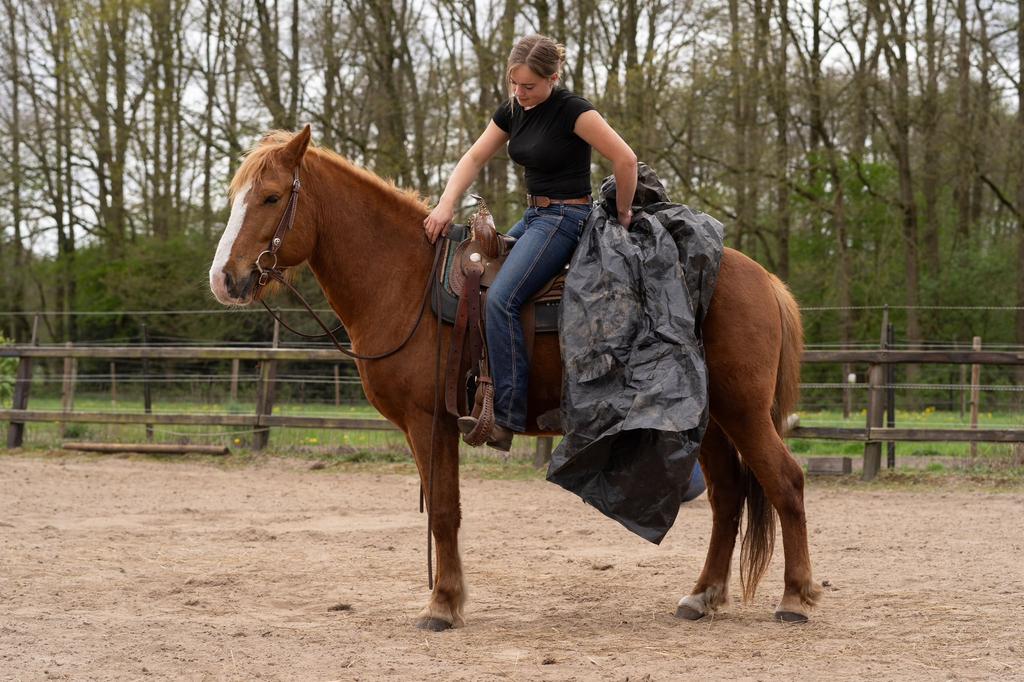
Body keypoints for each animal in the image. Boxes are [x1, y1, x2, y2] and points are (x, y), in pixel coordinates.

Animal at [208, 126, 822, 630]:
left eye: (270, 196)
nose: (224, 278)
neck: (405, 280)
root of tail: (762, 278)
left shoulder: (430, 422)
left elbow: (445, 512)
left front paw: (442, 605)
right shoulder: (428, 426)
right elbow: (444, 510)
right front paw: (448, 598)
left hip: (743, 413)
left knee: (786, 482)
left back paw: (794, 598)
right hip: (711, 420)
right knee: (728, 497)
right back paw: (704, 595)